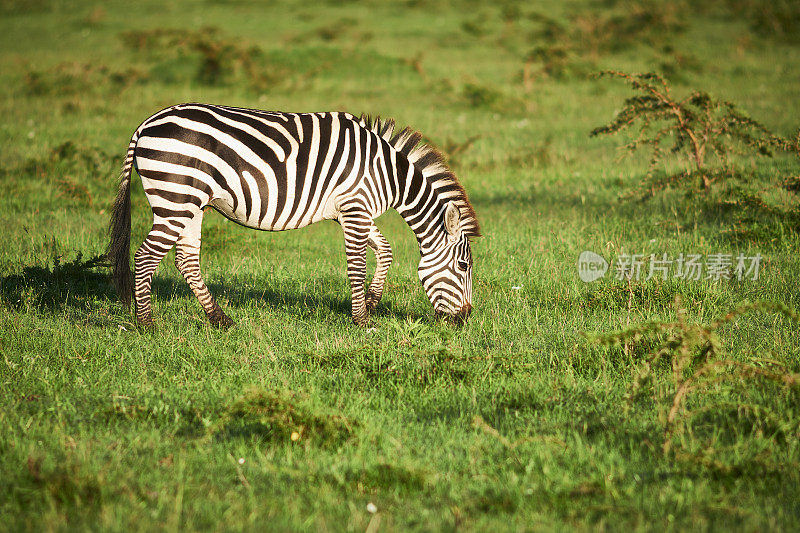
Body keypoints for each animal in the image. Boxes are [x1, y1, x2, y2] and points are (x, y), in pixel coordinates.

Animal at [108, 103, 482, 326]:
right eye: (464, 266)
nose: (466, 318)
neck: (387, 175)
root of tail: (146, 123)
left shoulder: (352, 210)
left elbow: (386, 250)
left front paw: (373, 302)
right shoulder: (355, 207)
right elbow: (357, 264)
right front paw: (361, 321)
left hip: (191, 204)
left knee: (186, 260)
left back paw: (221, 320)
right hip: (175, 199)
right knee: (145, 257)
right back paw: (147, 324)